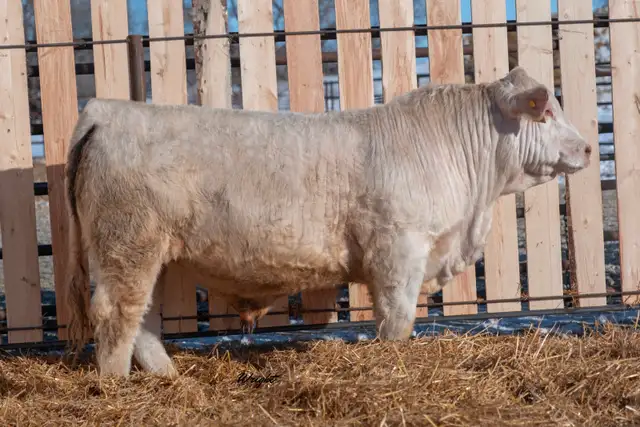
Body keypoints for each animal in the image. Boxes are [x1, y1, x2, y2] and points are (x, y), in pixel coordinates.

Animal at [64, 66, 591, 378]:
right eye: (545, 112)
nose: (588, 147)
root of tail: (103, 111)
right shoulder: (398, 248)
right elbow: (397, 319)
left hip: (145, 249)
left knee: (144, 318)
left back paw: (165, 375)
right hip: (127, 241)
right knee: (117, 313)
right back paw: (115, 384)